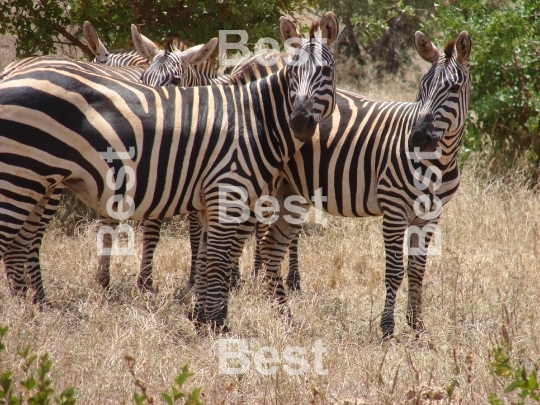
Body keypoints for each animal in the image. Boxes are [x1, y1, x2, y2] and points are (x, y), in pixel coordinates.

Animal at [0, 38, 219, 304]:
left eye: (176, 81)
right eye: (144, 79)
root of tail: (13, 70)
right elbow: (166, 231)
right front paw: (151, 282)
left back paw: (28, 297)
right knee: (28, 236)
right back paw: (32, 298)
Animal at [251, 30, 470, 338]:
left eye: (453, 88)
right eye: (422, 87)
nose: (417, 138)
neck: (439, 160)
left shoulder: (430, 215)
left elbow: (417, 270)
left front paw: (417, 327)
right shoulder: (394, 210)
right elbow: (395, 271)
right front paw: (387, 329)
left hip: (291, 192)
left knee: (272, 246)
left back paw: (284, 318)